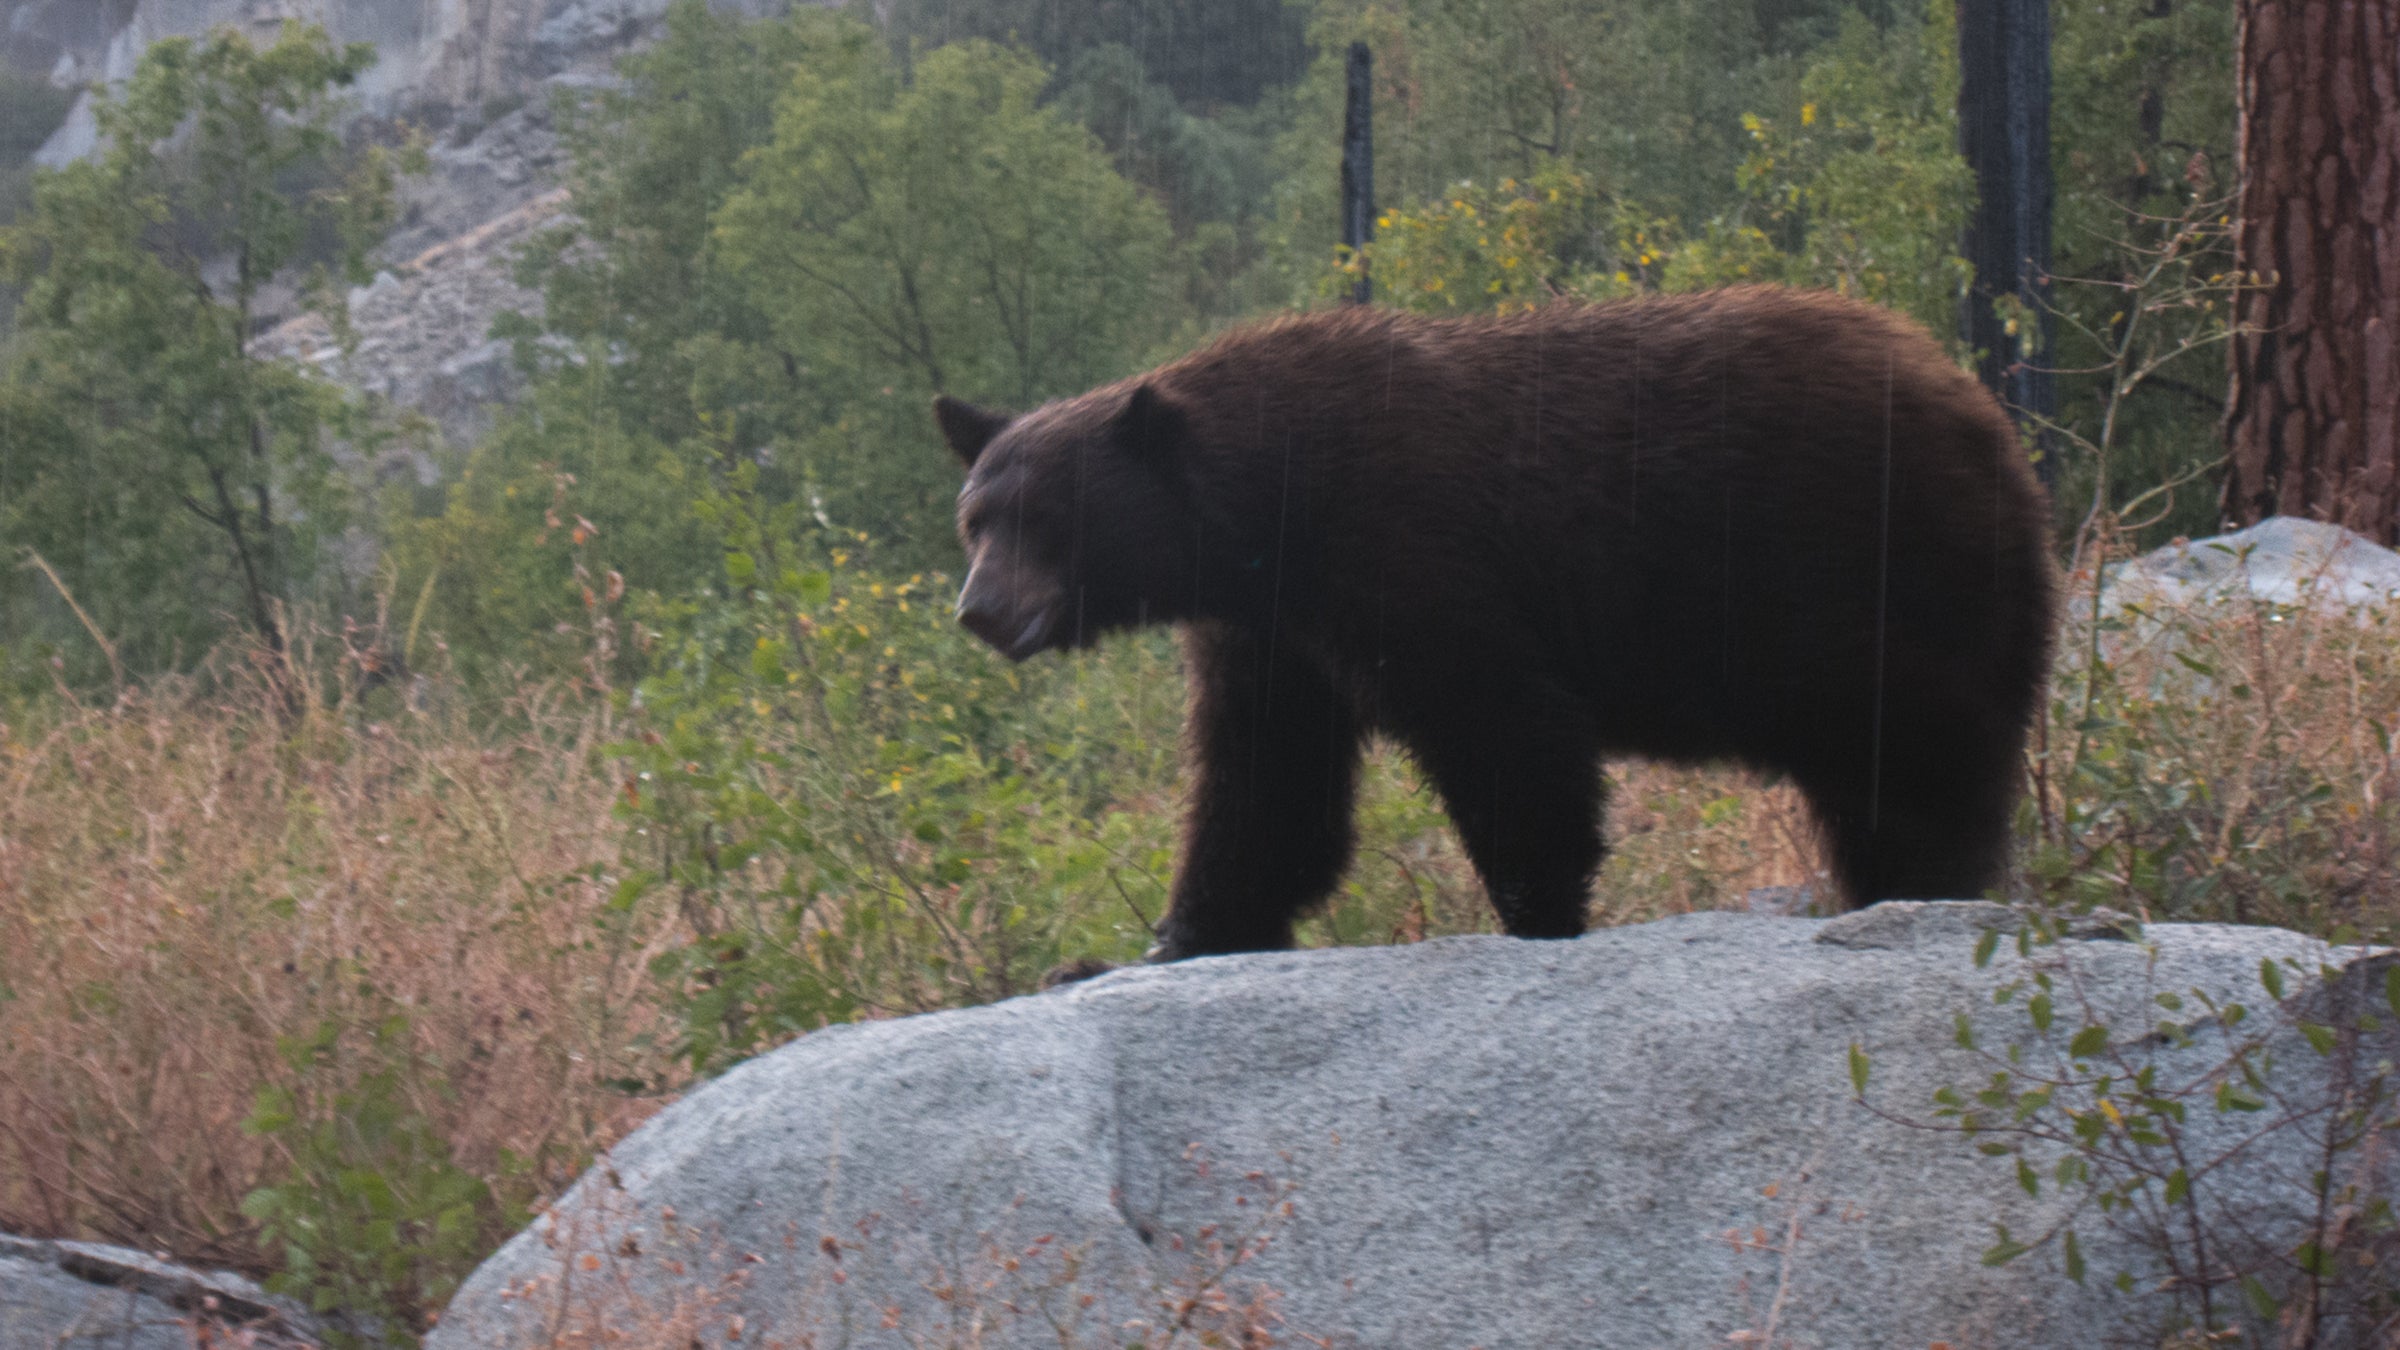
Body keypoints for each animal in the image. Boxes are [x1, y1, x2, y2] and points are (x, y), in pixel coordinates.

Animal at [932, 287, 2057, 961]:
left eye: (1046, 519)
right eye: (975, 519)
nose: (980, 610)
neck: (1269, 509)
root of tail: (1984, 416)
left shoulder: (1407, 544)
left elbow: (1501, 726)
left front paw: (1535, 908)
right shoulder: (1270, 629)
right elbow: (1266, 782)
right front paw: (1185, 930)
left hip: (1859, 568)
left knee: (1919, 746)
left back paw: (1929, 881)